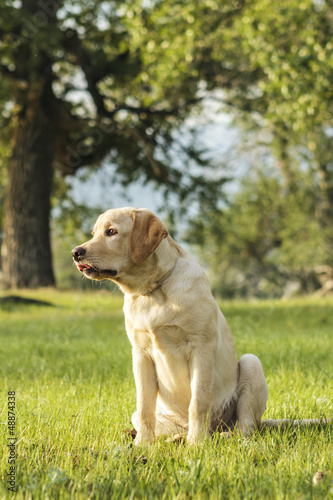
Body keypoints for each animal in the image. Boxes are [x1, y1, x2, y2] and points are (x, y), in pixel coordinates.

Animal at [71, 207, 328, 446]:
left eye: (111, 232)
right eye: (94, 233)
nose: (75, 253)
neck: (154, 291)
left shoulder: (201, 348)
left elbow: (198, 402)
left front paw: (197, 445)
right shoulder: (141, 354)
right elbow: (144, 407)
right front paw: (142, 445)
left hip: (251, 365)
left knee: (245, 429)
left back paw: (217, 437)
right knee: (153, 420)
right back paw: (175, 439)